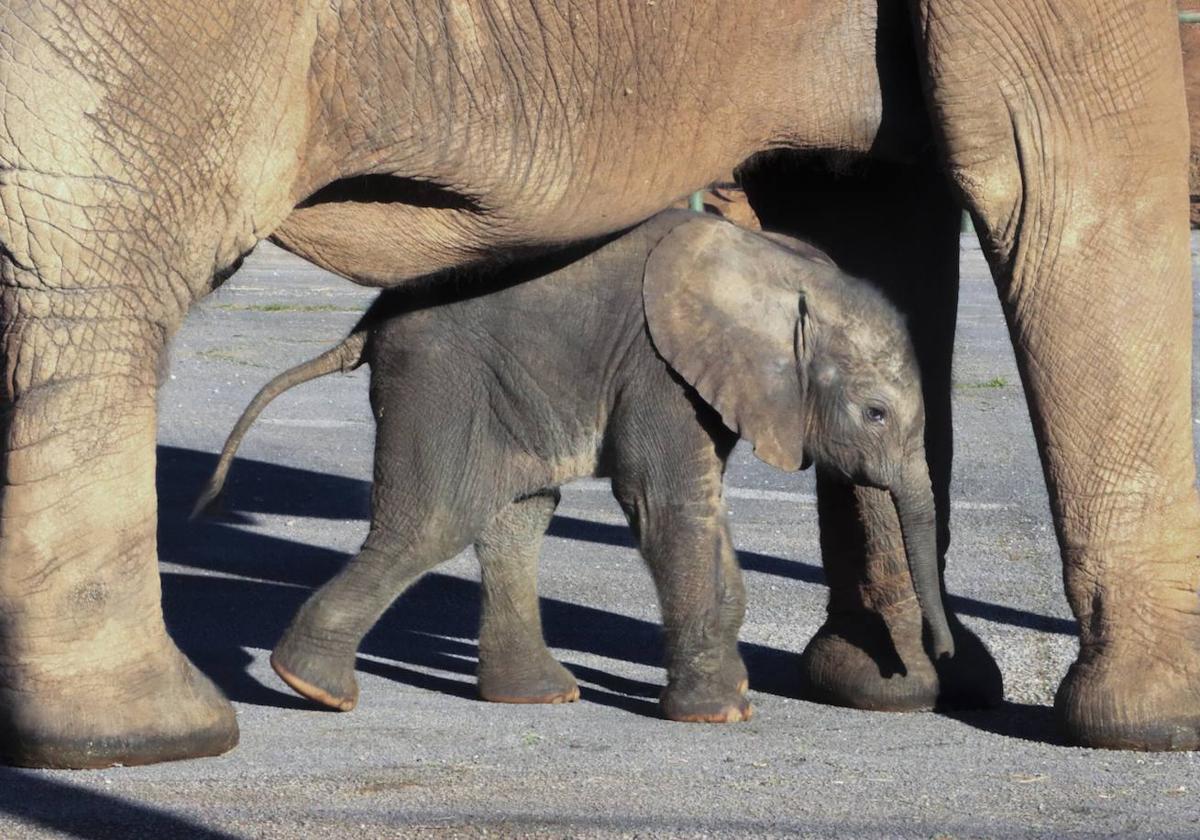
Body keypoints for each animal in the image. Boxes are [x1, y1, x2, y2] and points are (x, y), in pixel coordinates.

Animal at [196, 208, 950, 720]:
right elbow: (669, 504)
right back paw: (312, 686)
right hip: (440, 377)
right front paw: (720, 713)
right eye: (876, 414)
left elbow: (705, 508)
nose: (937, 658)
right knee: (438, 519)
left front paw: (733, 690)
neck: (780, 270)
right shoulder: (657, 368)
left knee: (519, 515)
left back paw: (538, 696)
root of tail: (370, 319)